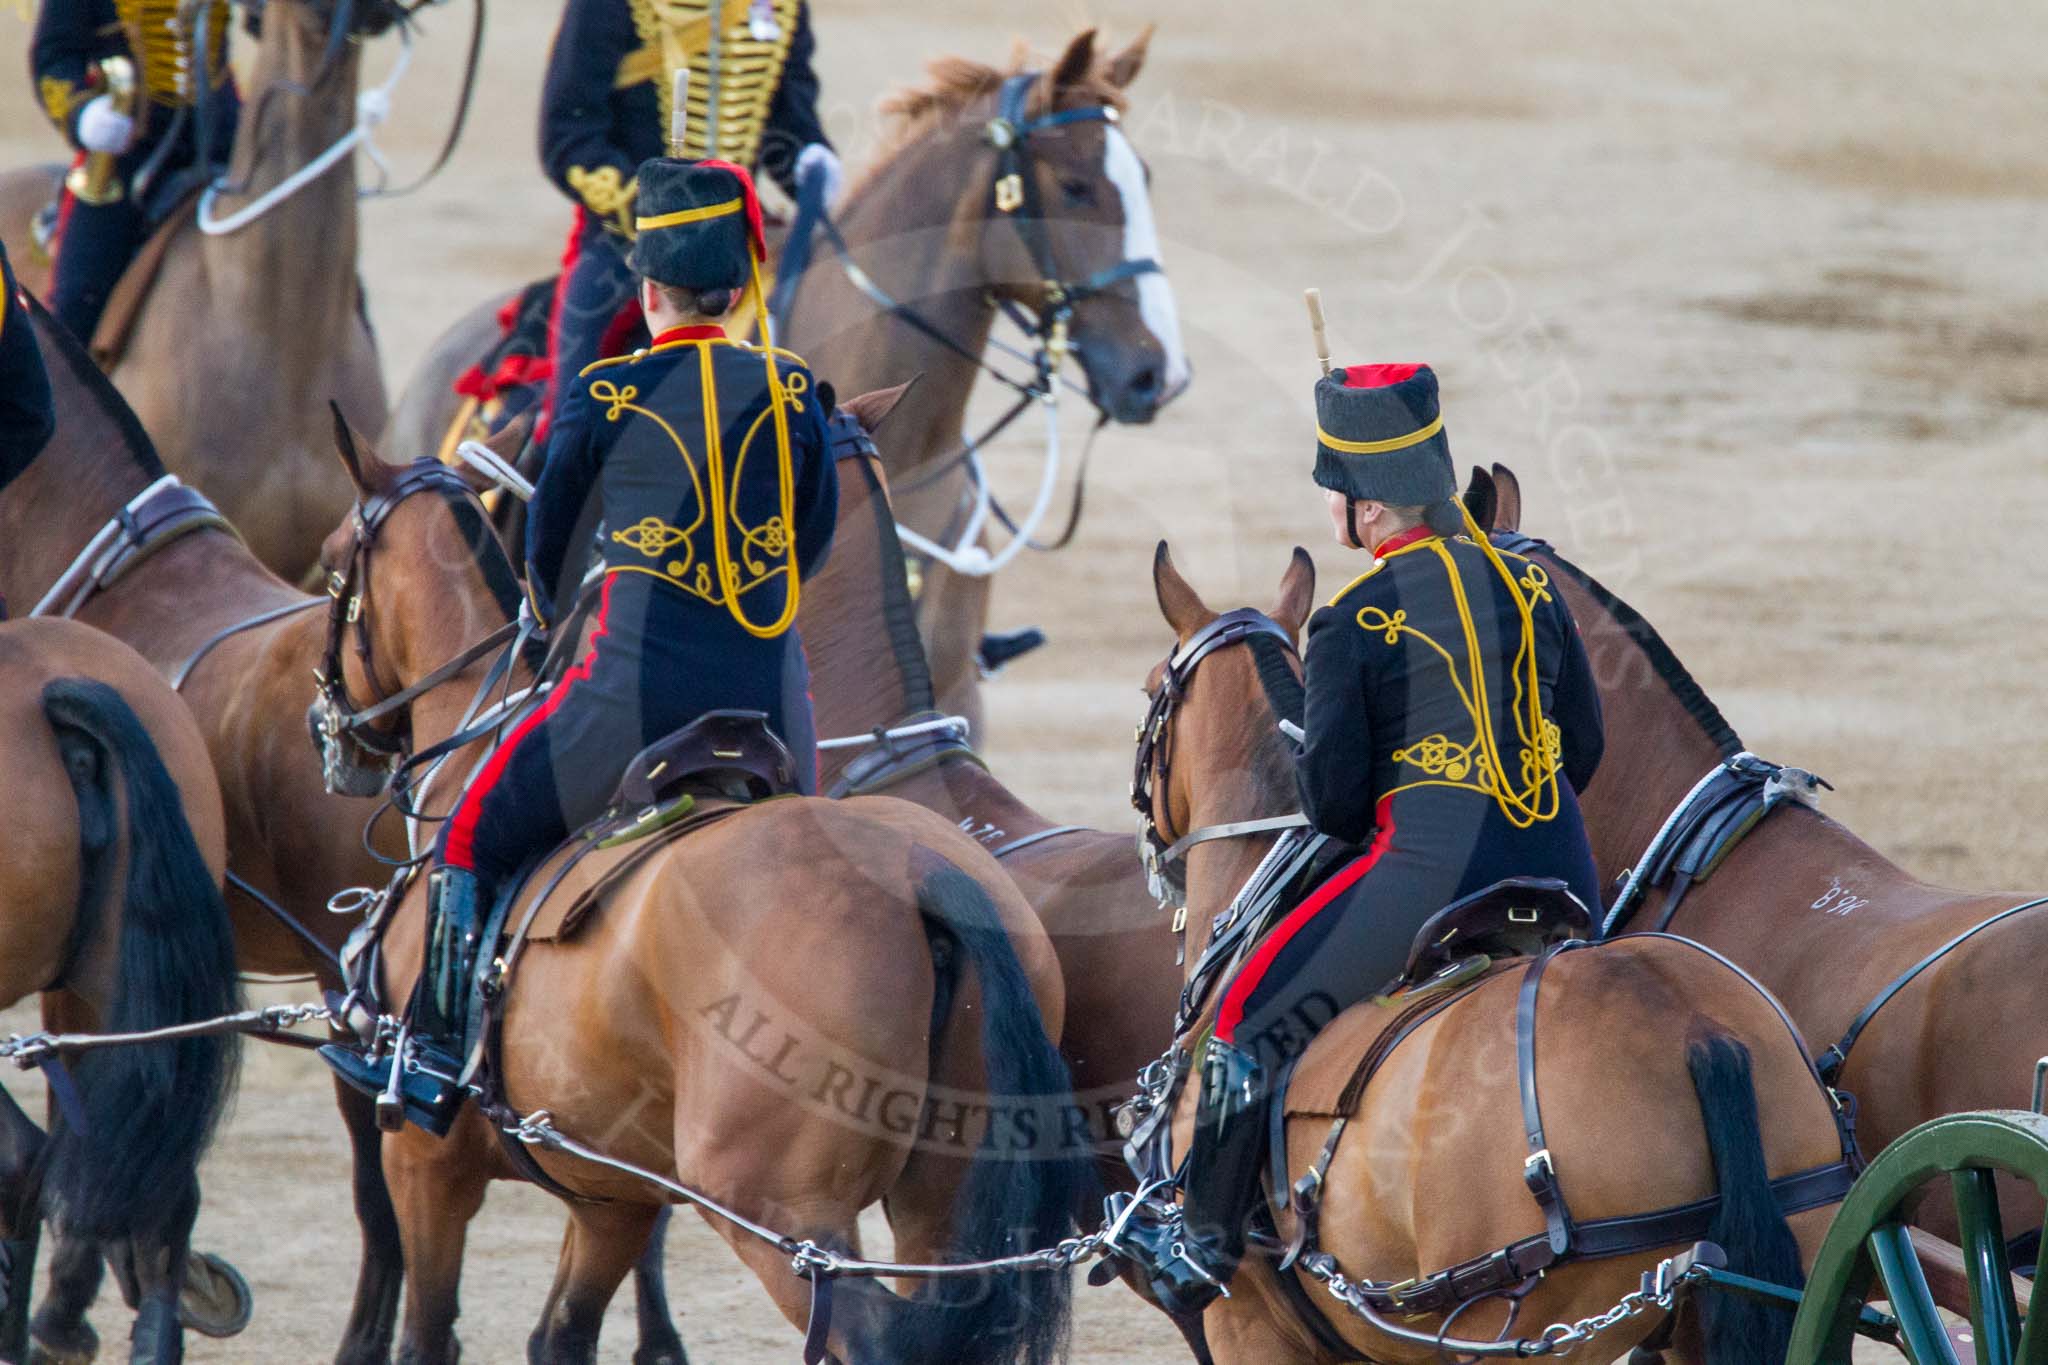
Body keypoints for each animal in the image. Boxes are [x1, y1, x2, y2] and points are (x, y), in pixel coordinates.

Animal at [313, 431, 1097, 1365]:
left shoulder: (428, 1168)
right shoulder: (611, 1194)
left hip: (783, 1216)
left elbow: (429, 1336)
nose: (329, 730)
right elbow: (561, 1335)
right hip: (938, 1206)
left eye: (331, 563)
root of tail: (921, 871)